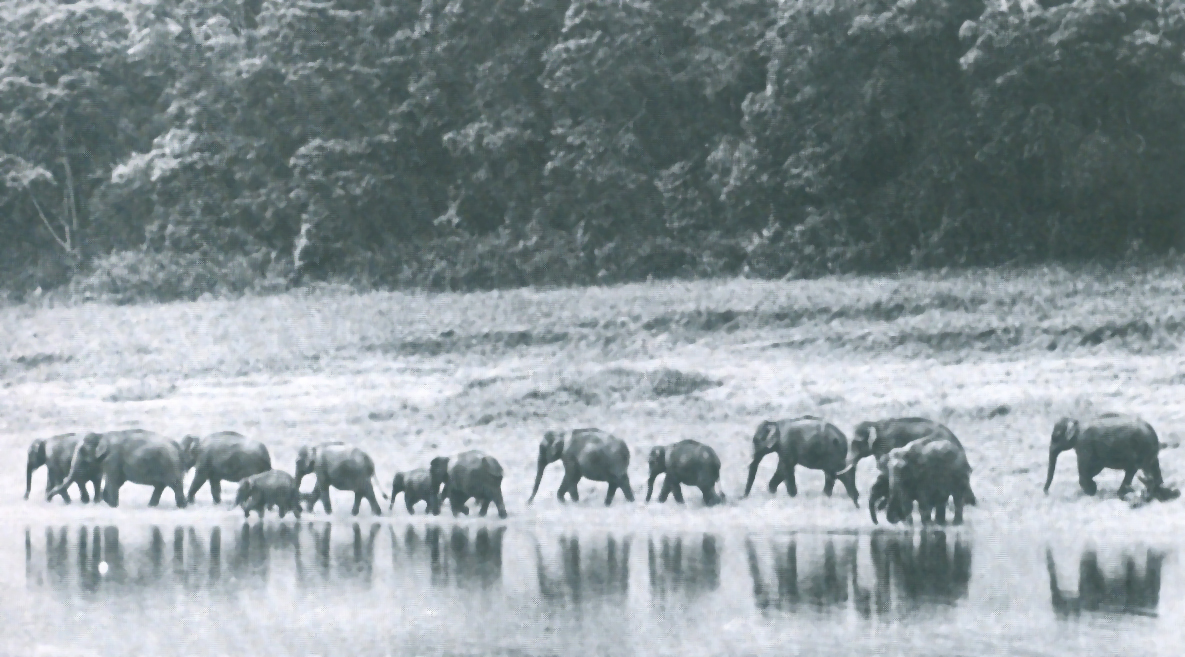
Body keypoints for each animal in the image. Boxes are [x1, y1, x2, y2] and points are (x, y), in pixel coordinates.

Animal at [47, 430, 189, 508]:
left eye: (82, 451)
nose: (48, 497)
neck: (102, 435)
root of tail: (178, 447)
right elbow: (118, 481)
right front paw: (110, 503)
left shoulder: (113, 459)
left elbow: (113, 481)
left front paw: (113, 505)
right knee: (160, 486)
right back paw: (151, 506)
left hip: (169, 465)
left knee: (175, 484)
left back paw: (181, 507)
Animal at [1044, 414, 1178, 499]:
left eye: (1055, 437)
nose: (1046, 493)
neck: (1077, 422)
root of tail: (1152, 432)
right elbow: (1094, 468)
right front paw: (1093, 488)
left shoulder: (1084, 444)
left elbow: (1086, 467)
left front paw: (1091, 491)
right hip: (1148, 450)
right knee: (1150, 467)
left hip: (1141, 448)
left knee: (1135, 468)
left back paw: (1122, 493)